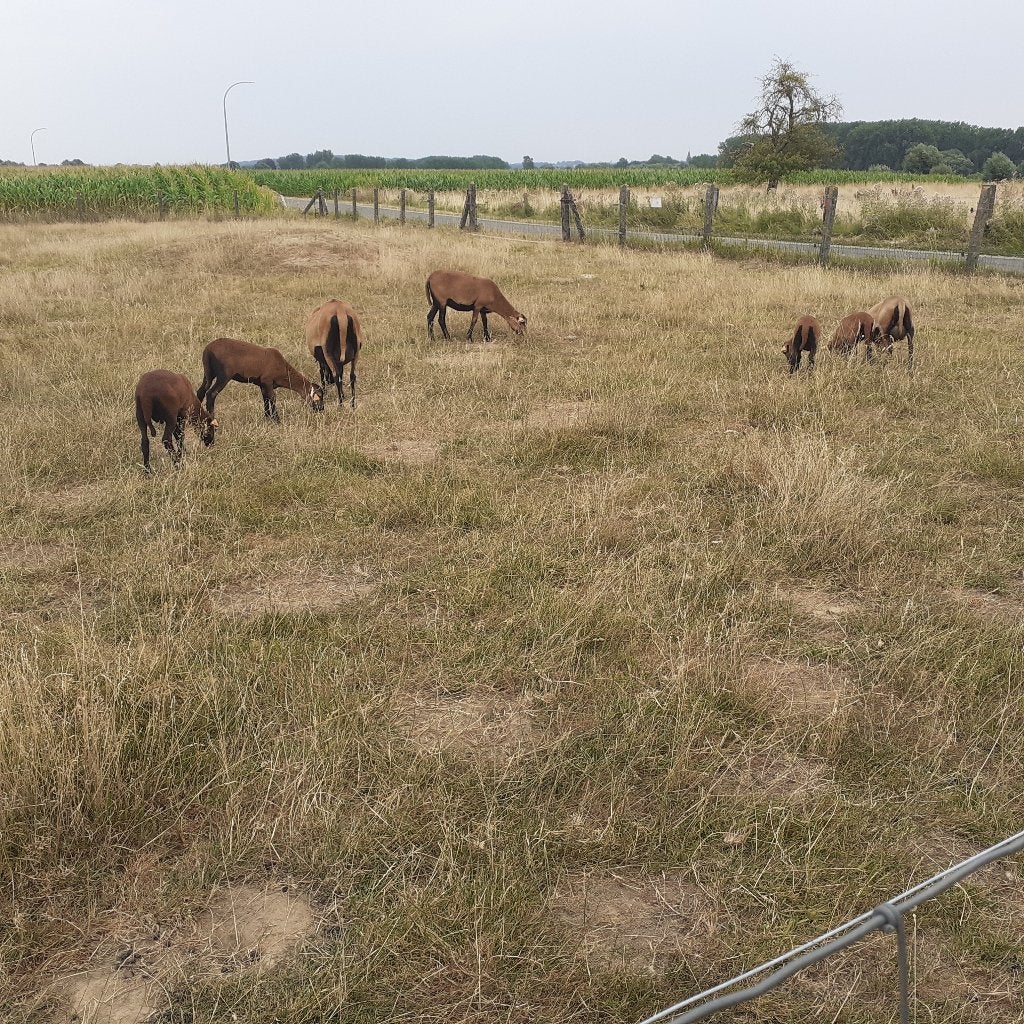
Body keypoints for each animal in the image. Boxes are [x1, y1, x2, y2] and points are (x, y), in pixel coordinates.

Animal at [196, 337, 325, 422]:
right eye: (319, 396)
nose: (321, 410)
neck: (283, 369)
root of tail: (208, 350)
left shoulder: (262, 385)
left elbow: (265, 399)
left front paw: (267, 417)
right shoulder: (267, 381)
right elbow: (272, 398)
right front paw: (276, 419)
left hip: (208, 372)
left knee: (201, 391)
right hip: (224, 375)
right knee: (211, 393)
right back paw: (212, 419)